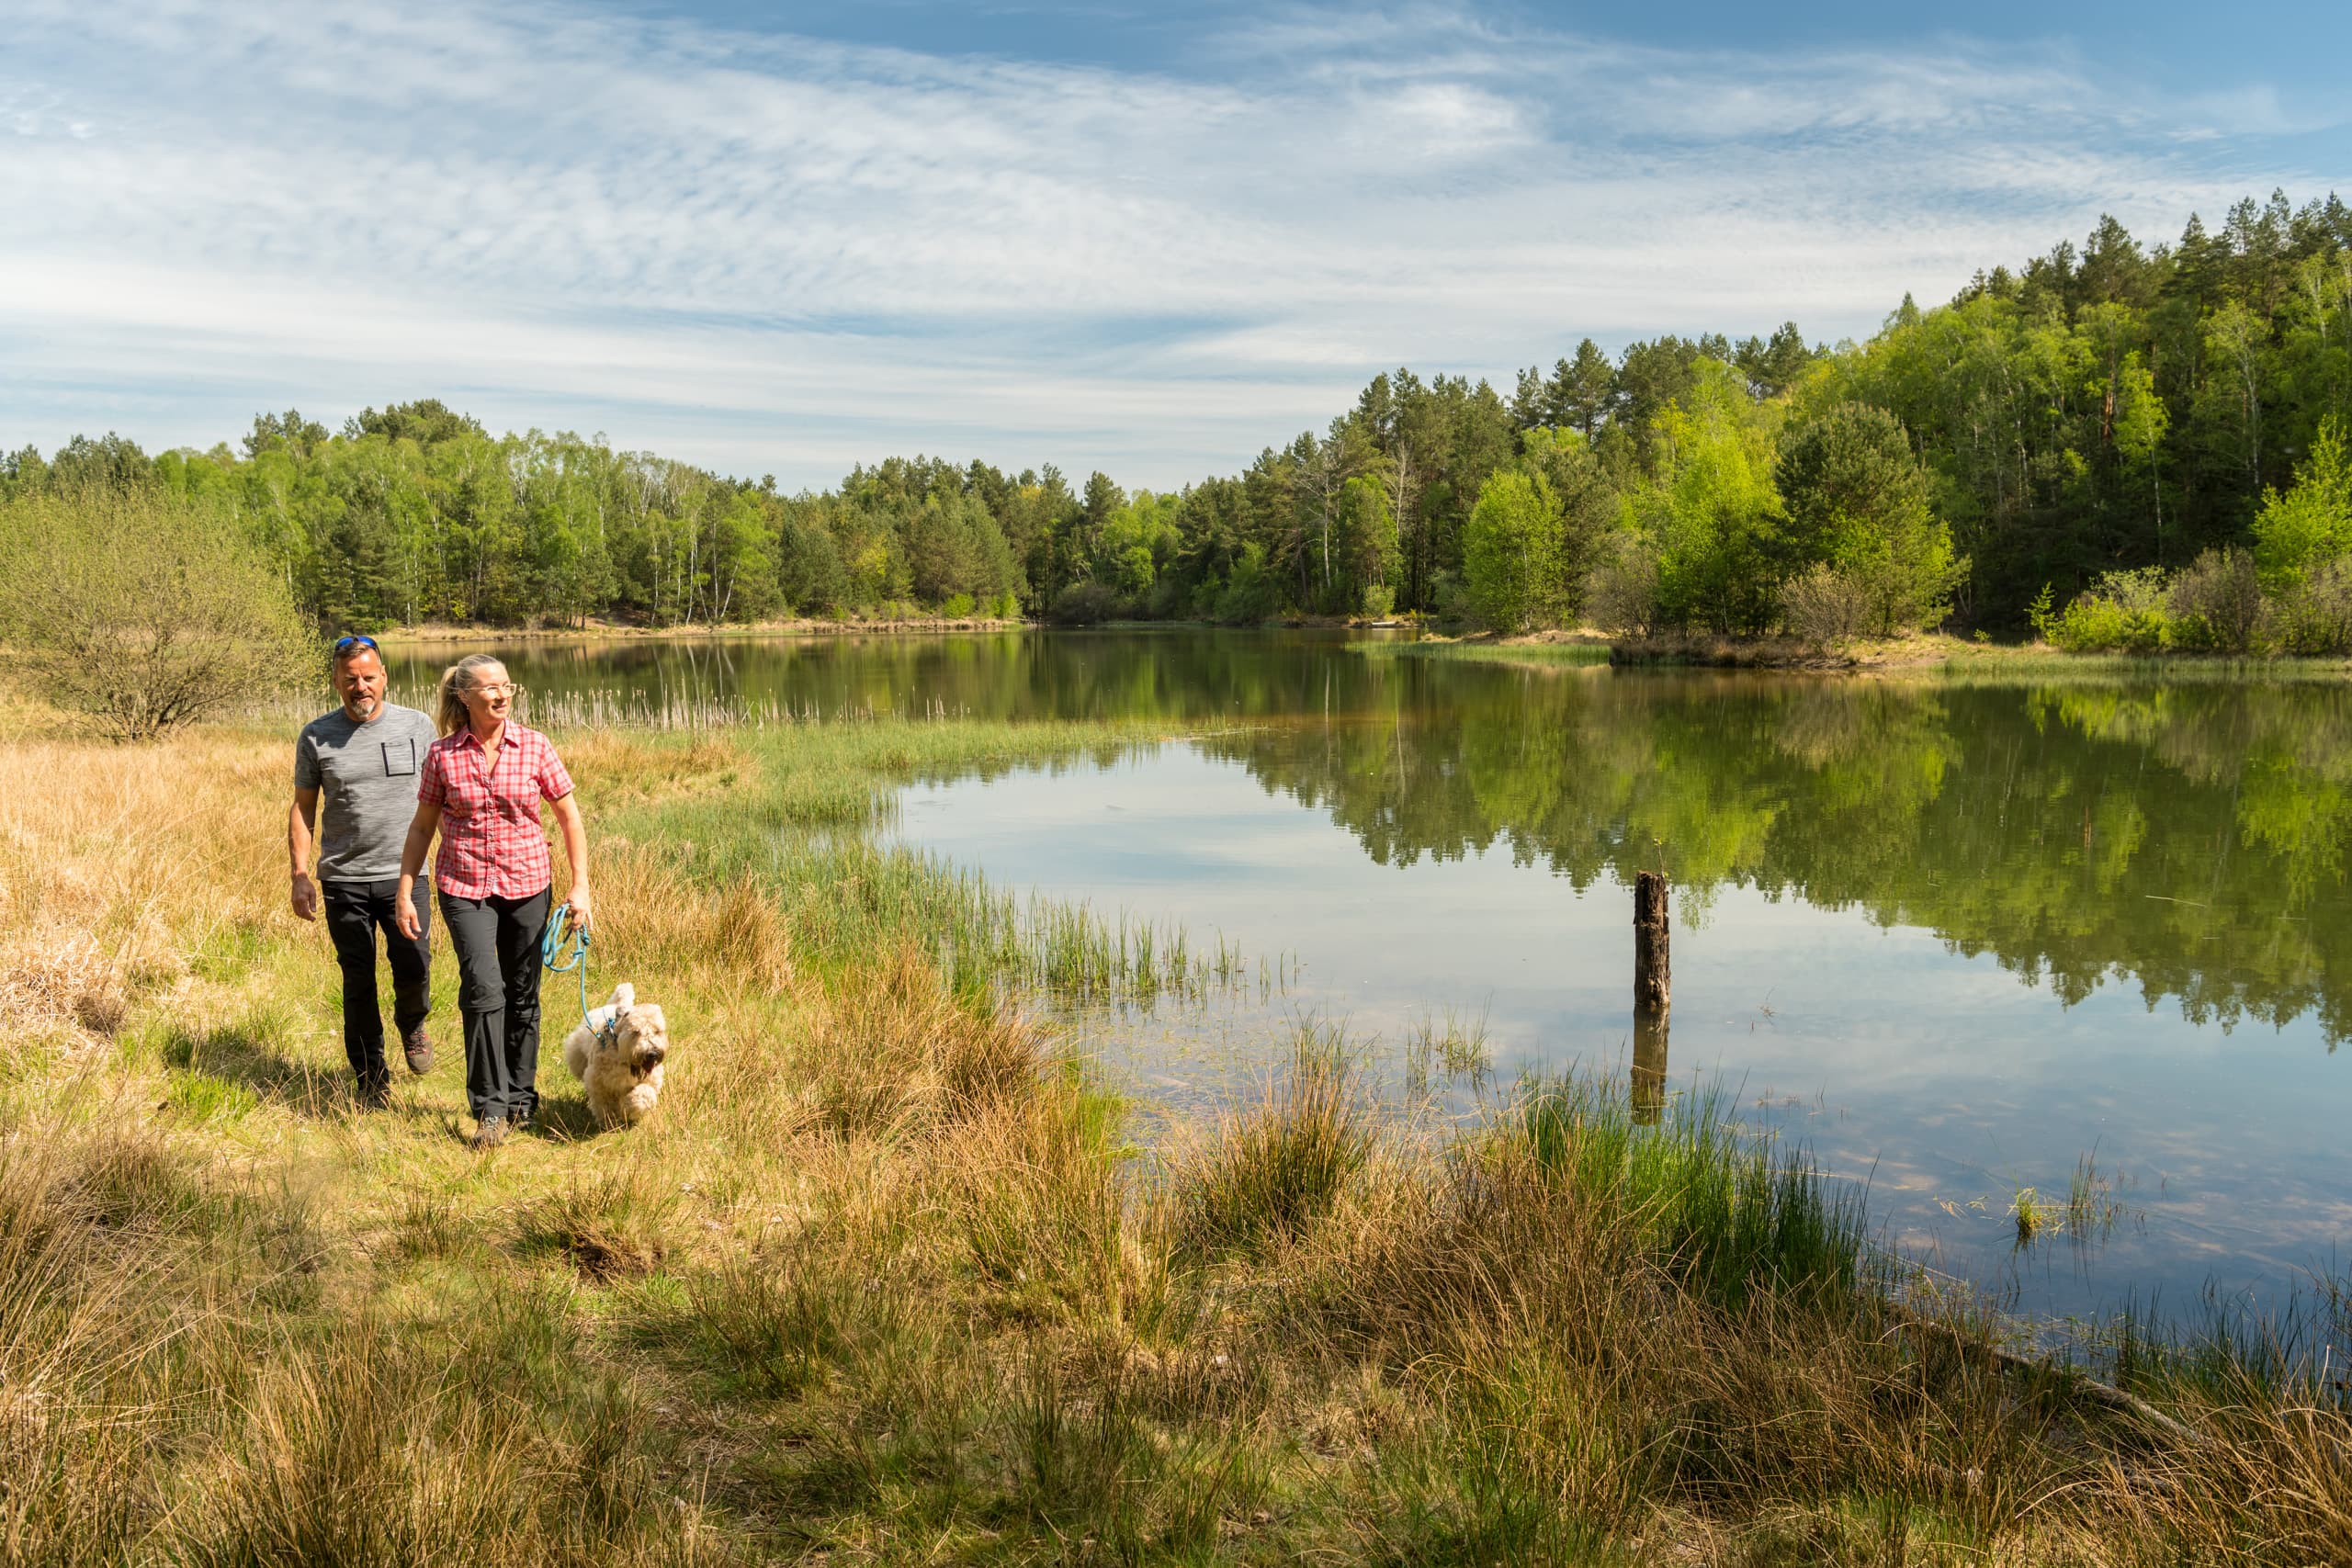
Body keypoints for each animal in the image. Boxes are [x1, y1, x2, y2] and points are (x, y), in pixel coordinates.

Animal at [566, 982, 677, 1128]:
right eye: (636, 1031)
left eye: (657, 1031)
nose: (652, 1053)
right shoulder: (600, 1082)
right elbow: (604, 1104)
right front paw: (609, 1122)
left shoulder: (650, 1081)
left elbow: (644, 1094)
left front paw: (629, 1108)